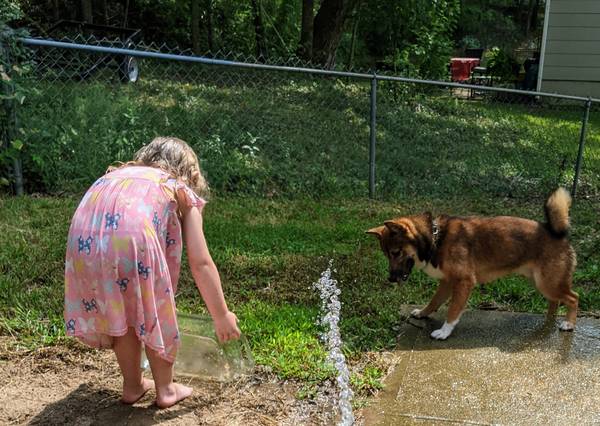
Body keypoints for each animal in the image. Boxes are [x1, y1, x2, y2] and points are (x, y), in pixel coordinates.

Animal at [366, 189, 576, 340]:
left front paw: (445, 331)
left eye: (396, 252)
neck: (436, 239)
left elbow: (453, 310)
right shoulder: (447, 283)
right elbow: (434, 301)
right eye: (386, 254)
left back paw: (569, 323)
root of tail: (556, 233)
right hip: (541, 283)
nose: (390, 278)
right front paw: (424, 313)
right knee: (555, 301)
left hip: (548, 283)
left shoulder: (463, 282)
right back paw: (550, 319)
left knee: (573, 298)